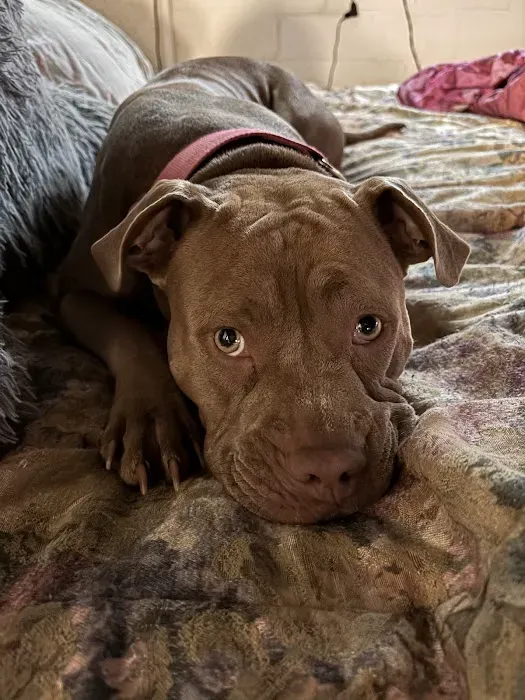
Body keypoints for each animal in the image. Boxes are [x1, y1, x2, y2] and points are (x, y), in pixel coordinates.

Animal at [58, 57, 470, 524]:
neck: (251, 163)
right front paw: (151, 423)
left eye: (368, 326)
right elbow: (129, 337)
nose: (329, 469)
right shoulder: (72, 294)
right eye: (227, 340)